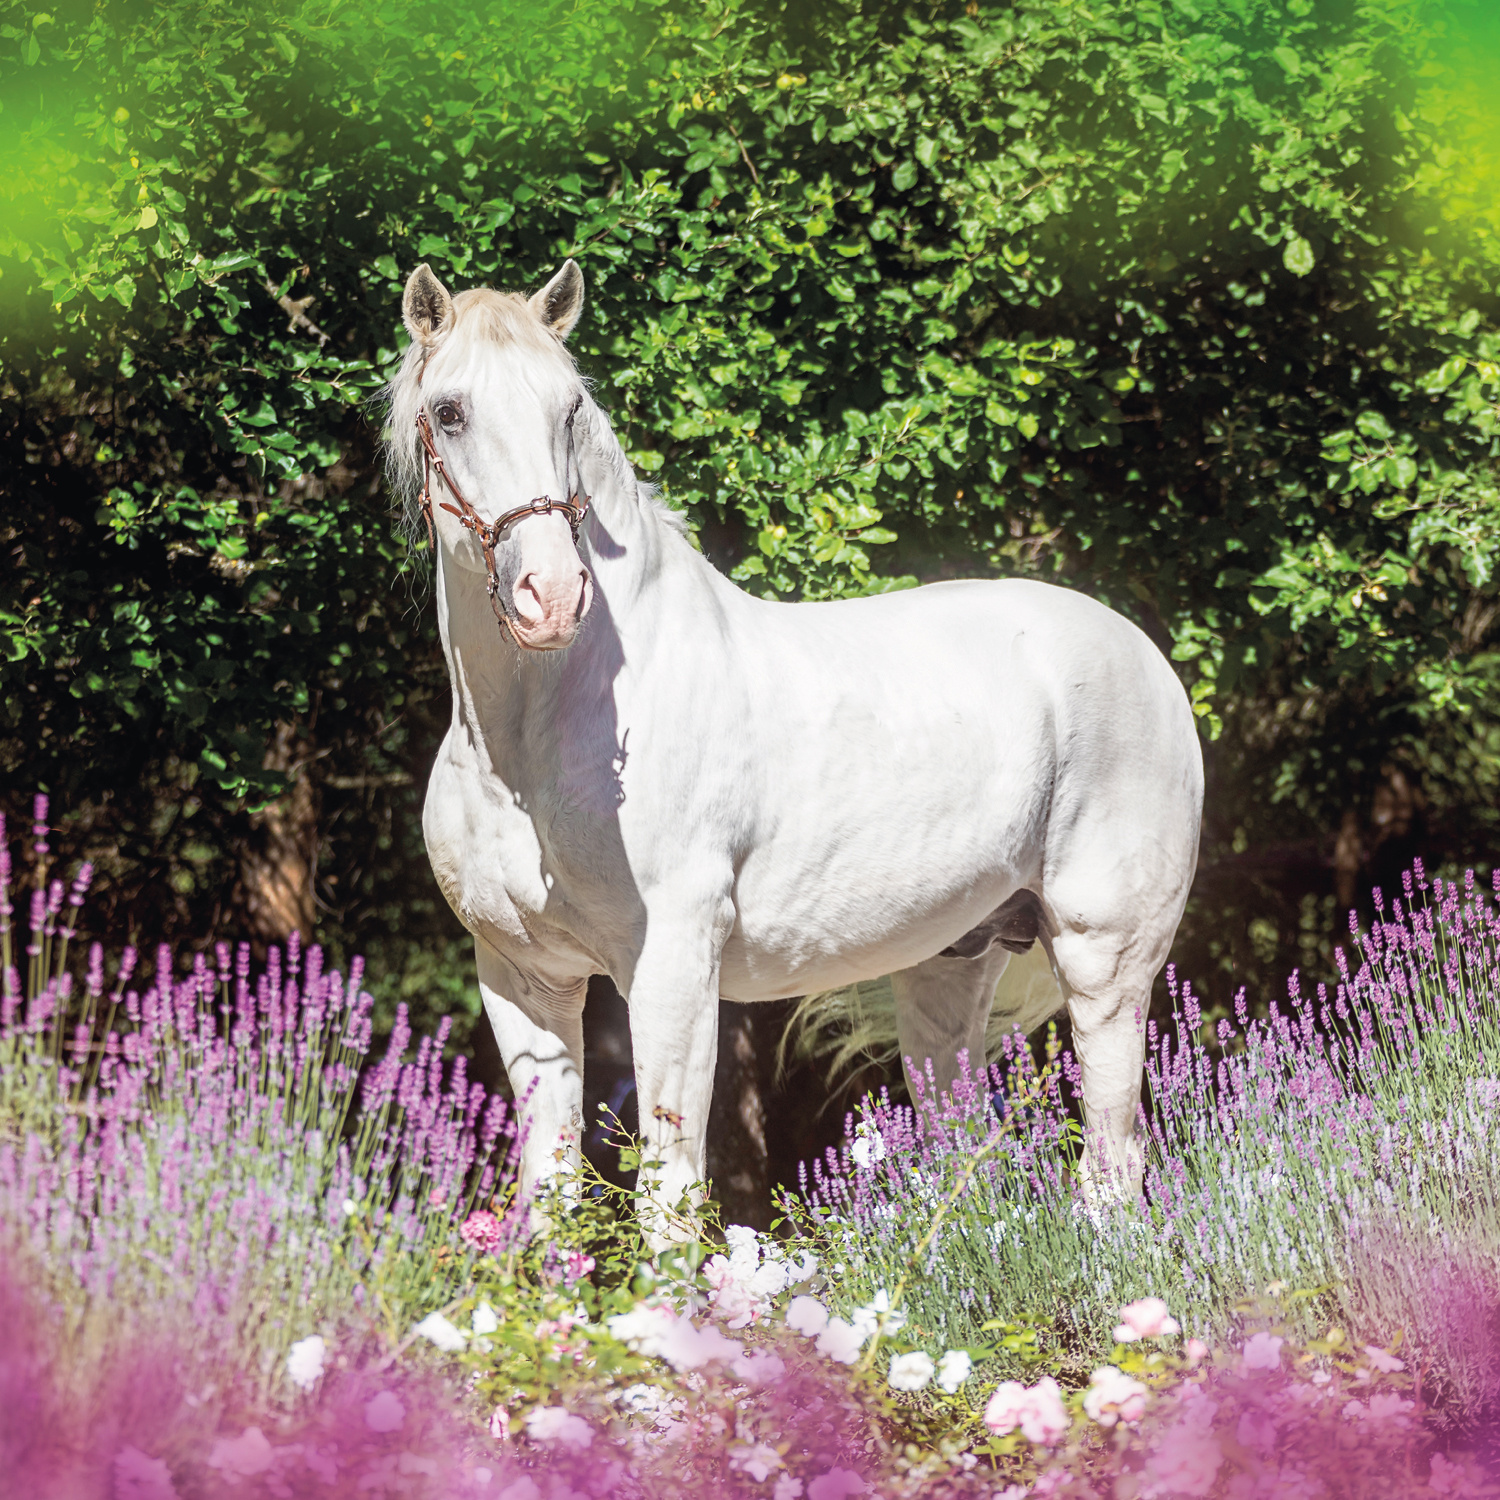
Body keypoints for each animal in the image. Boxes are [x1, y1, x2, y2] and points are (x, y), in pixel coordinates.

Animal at [385, 259, 1204, 1240]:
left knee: (1113, 1167)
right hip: (951, 970)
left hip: (1105, 966)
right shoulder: (523, 981)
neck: (528, 749)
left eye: (570, 406)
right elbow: (551, 1199)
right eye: (450, 411)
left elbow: (668, 1196)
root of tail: (1147, 658)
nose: (553, 595)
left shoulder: (671, 972)